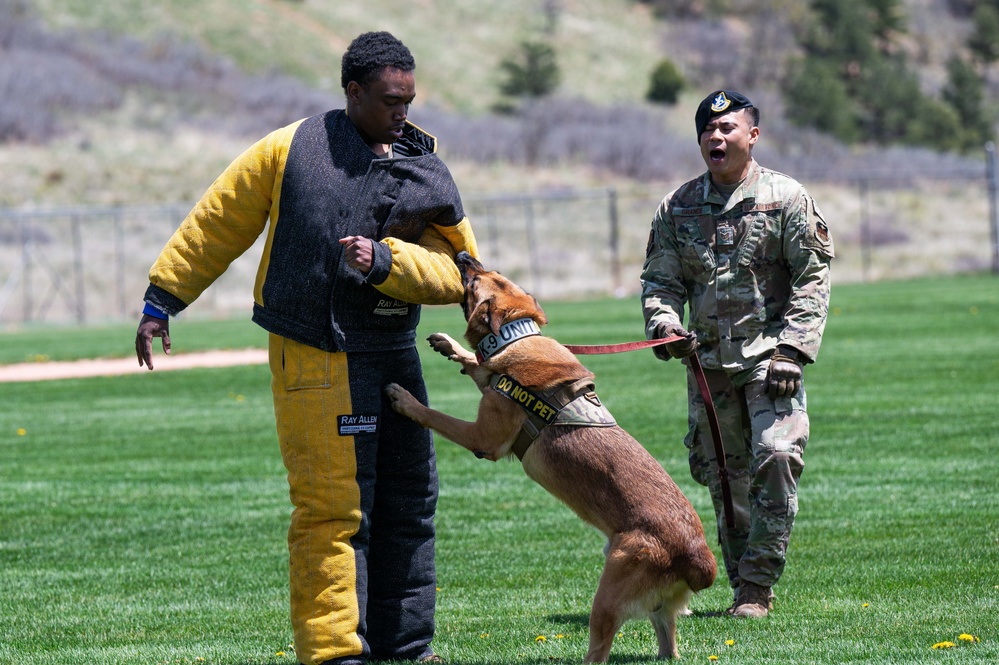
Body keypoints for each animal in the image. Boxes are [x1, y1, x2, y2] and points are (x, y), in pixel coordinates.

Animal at [384, 252, 720, 660]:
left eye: (475, 279)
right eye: (490, 270)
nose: (464, 255)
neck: (520, 336)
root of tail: (698, 557)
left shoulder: (483, 438)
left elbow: (438, 416)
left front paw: (406, 400)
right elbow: (478, 365)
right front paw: (449, 346)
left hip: (607, 596)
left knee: (599, 650)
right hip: (656, 608)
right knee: (668, 647)